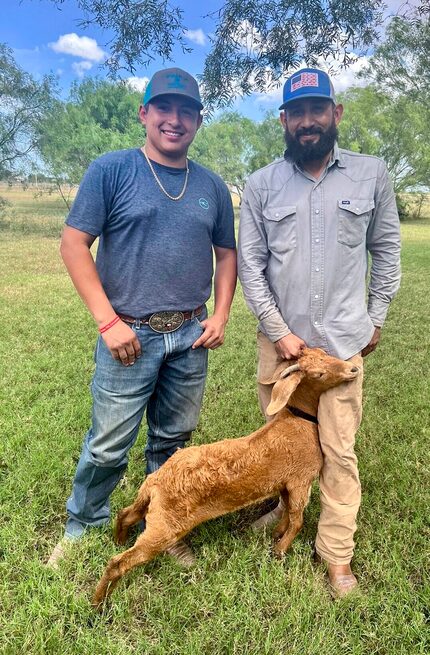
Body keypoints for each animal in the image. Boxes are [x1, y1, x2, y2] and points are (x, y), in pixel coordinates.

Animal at [93, 346, 360, 608]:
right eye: (319, 375)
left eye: (325, 353)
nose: (352, 369)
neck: (299, 421)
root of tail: (155, 483)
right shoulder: (299, 480)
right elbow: (296, 520)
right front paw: (279, 550)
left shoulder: (285, 483)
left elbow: (286, 512)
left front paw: (276, 534)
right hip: (165, 526)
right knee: (118, 562)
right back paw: (98, 604)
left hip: (153, 511)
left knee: (125, 514)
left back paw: (118, 541)